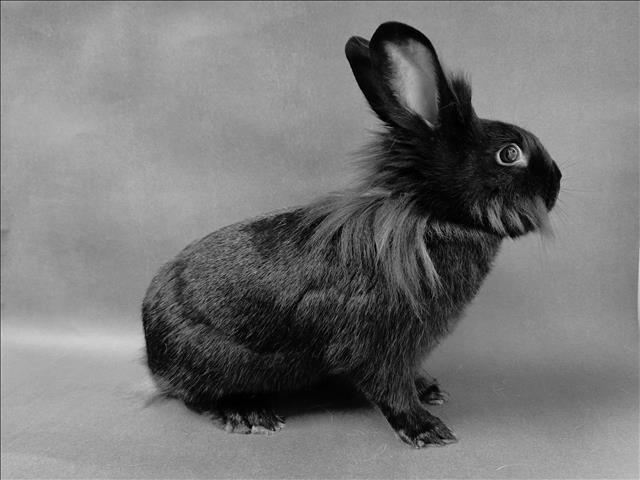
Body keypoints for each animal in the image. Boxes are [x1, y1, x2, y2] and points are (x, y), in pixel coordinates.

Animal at [142, 21, 561, 448]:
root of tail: (152, 347)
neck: (427, 217)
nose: (557, 181)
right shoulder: (378, 343)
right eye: (509, 154)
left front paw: (428, 389)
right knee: (198, 397)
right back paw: (249, 414)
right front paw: (426, 430)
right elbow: (389, 389)